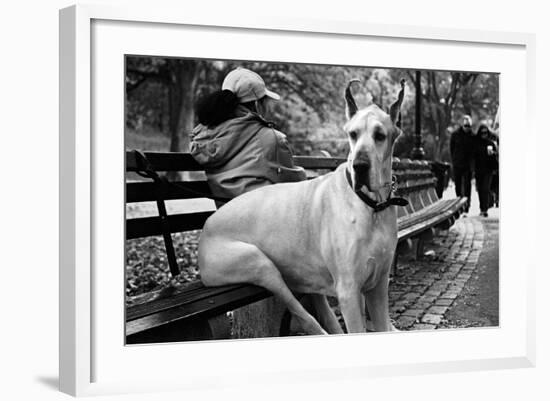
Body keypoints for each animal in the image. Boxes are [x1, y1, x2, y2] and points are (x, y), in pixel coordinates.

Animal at [201, 79, 408, 334]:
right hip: (259, 263)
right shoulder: (349, 291)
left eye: (380, 135)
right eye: (353, 134)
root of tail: (206, 226)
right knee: (301, 313)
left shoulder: (378, 286)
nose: (359, 166)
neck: (371, 206)